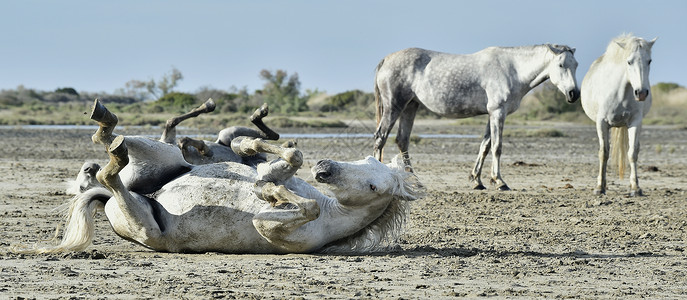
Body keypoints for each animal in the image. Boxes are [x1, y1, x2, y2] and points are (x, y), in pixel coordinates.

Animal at [22, 100, 424, 253]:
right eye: (365, 158)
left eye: (374, 185)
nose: (325, 169)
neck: (332, 212)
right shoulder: (282, 170)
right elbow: (284, 157)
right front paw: (261, 169)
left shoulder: (275, 228)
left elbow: (294, 206)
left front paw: (270, 193)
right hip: (162, 156)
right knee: (109, 143)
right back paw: (105, 121)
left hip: (145, 224)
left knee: (109, 175)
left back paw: (110, 149)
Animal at [376, 44, 580, 190]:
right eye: (561, 65)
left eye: (576, 65)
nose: (574, 94)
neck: (512, 69)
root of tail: (386, 60)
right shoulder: (498, 112)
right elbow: (497, 147)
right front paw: (500, 181)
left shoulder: (492, 114)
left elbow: (485, 146)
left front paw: (477, 181)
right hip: (394, 106)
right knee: (381, 137)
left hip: (411, 106)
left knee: (402, 140)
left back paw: (416, 181)